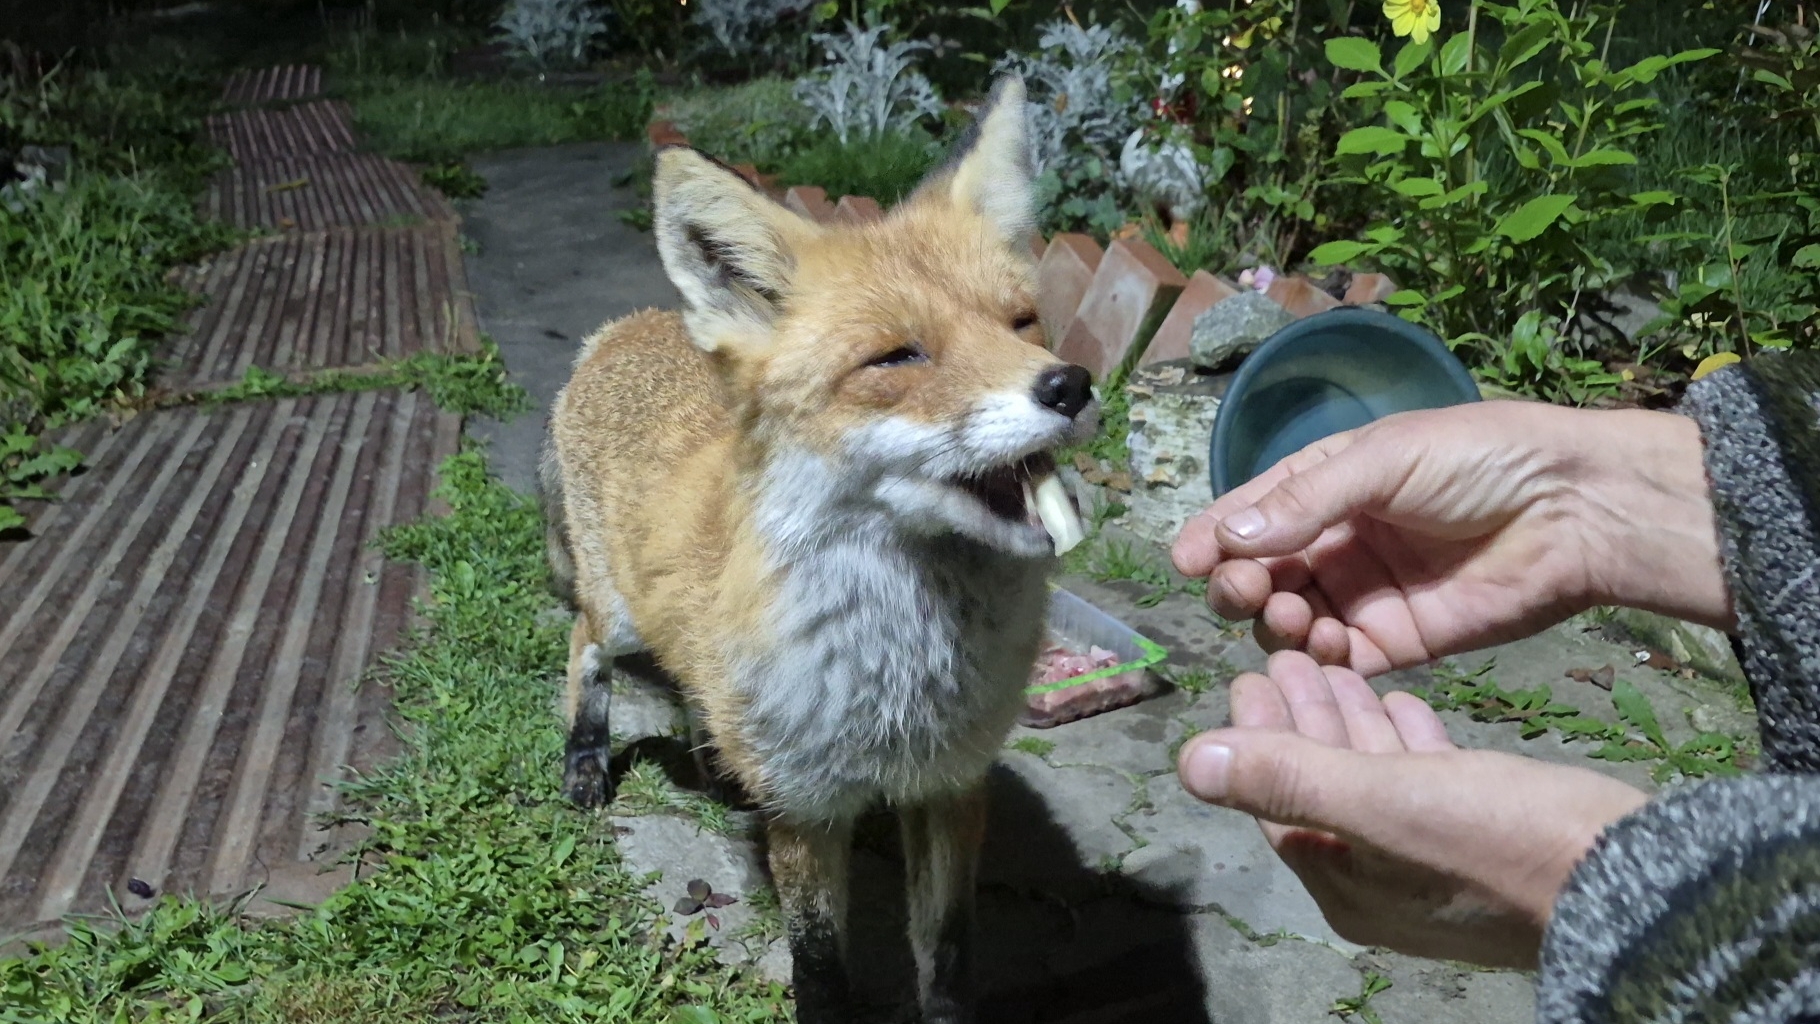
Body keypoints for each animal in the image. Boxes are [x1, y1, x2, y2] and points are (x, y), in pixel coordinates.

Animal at [539, 75, 1098, 1024]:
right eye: (897, 356)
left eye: (1023, 323)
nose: (1070, 384)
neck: (903, 672)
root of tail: (624, 327)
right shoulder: (807, 809)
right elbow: (822, 968)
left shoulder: (951, 785)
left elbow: (949, 958)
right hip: (618, 615)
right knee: (583, 646)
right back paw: (586, 762)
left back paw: (713, 757)